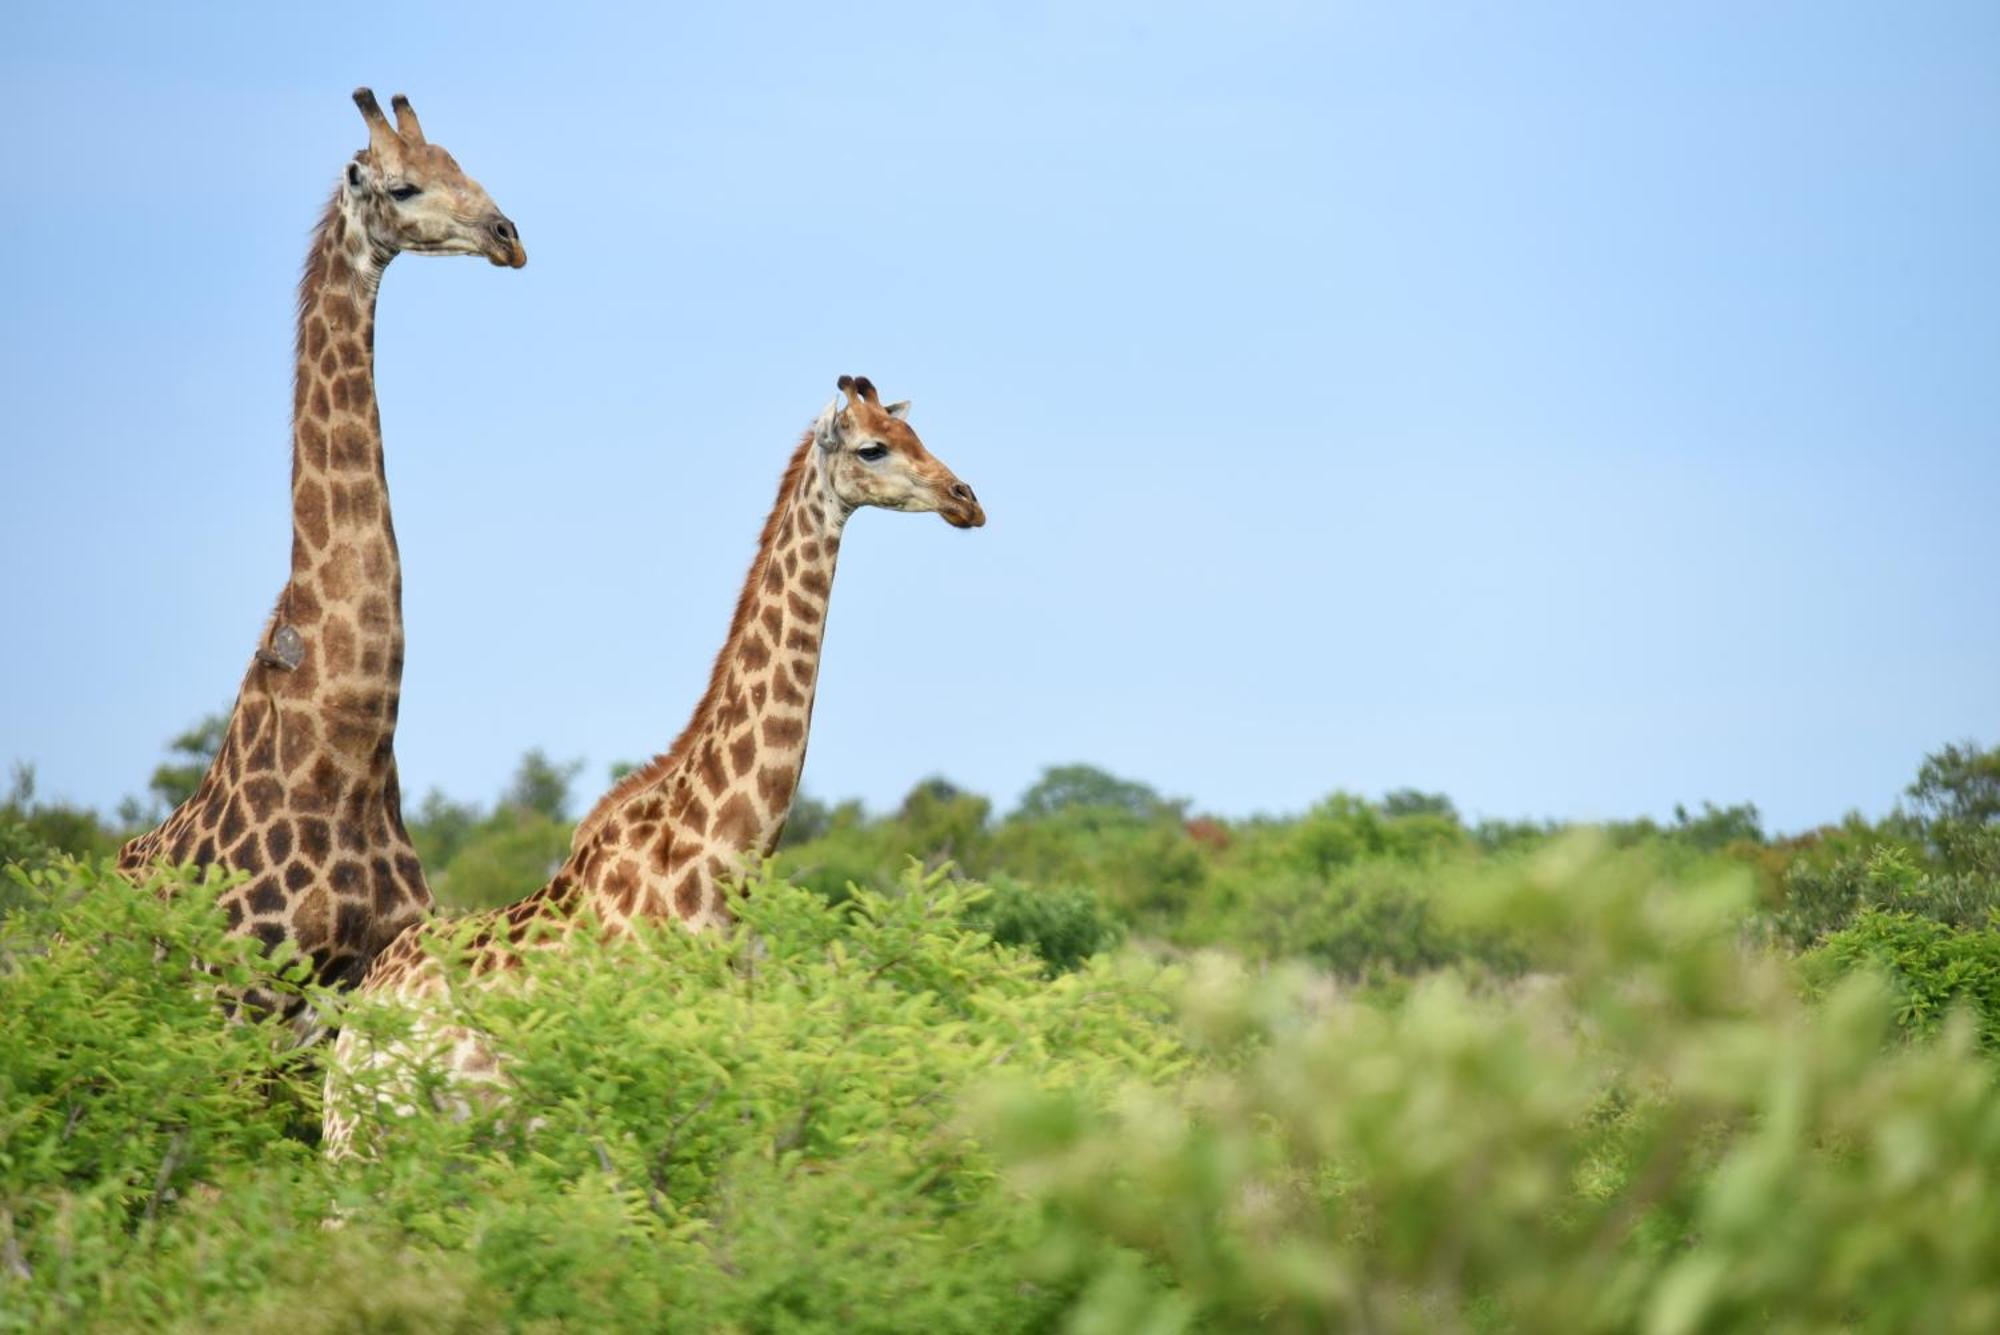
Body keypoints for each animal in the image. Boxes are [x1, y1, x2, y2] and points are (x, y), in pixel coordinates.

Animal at [326, 375, 984, 1159]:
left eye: (916, 434)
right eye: (873, 447)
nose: (965, 498)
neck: (713, 864)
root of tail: (353, 1019)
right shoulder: (629, 1085)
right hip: (363, 1134)